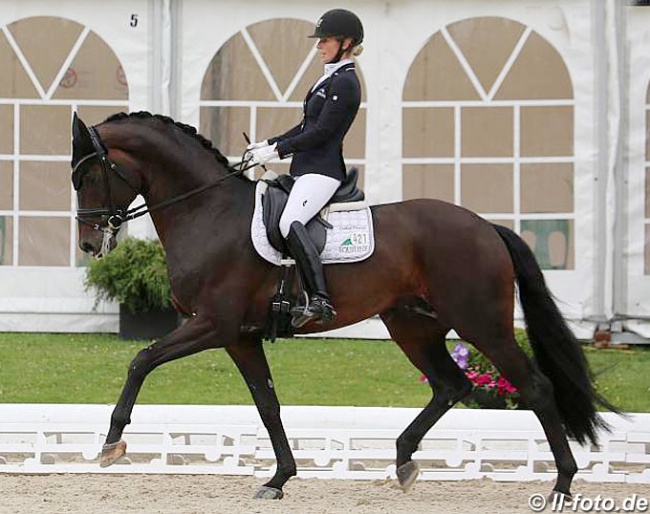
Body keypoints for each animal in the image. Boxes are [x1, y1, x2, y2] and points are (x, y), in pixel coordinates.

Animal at [71, 110, 612, 498]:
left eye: (90, 175)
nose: (89, 244)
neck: (208, 211)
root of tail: (486, 227)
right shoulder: (241, 337)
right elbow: (267, 404)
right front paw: (279, 479)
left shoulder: (213, 325)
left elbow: (141, 359)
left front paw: (112, 442)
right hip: (413, 326)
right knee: (451, 384)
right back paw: (404, 460)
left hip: (482, 324)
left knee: (535, 388)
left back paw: (562, 484)